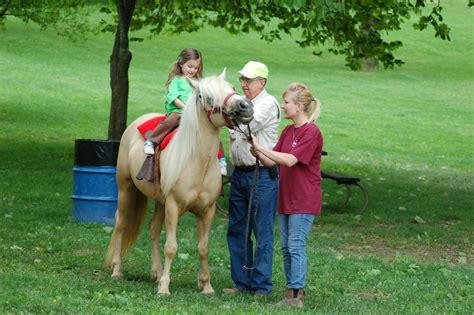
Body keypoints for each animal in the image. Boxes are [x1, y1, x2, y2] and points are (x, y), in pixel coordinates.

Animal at [106, 69, 254, 296]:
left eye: (232, 88)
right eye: (207, 97)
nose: (244, 106)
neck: (197, 162)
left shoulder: (207, 210)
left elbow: (203, 248)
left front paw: (206, 286)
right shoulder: (174, 207)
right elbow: (171, 247)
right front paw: (164, 288)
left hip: (160, 201)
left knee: (153, 230)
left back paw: (156, 273)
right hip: (126, 189)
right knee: (121, 224)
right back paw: (117, 270)